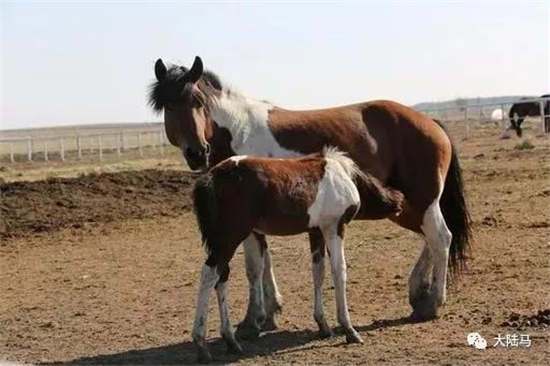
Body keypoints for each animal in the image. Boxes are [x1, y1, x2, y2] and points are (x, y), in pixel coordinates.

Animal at [148, 56, 474, 334]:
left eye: (198, 101)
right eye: (168, 106)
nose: (196, 152)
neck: (238, 132)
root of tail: (430, 122)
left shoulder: (249, 224)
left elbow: (254, 267)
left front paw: (254, 320)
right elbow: (264, 263)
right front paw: (270, 312)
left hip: (422, 200)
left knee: (440, 237)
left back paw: (433, 302)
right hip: (404, 206)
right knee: (430, 237)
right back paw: (419, 292)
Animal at [192, 147, 404, 362]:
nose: (399, 201)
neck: (343, 175)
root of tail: (211, 177)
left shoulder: (316, 231)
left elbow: (318, 272)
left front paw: (323, 325)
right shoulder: (334, 227)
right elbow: (339, 271)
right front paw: (349, 329)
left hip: (228, 240)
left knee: (221, 278)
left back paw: (231, 341)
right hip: (230, 238)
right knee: (209, 274)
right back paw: (201, 344)